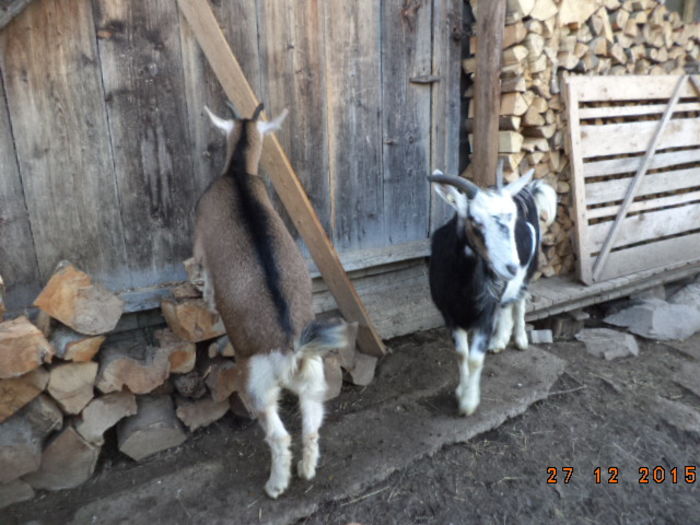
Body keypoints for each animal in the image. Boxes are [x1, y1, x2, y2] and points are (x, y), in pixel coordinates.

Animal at [193, 103, 352, 500]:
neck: (237, 173)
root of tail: (291, 347)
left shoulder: (199, 241)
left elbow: (206, 274)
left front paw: (208, 300)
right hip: (314, 378)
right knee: (311, 425)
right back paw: (307, 470)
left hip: (256, 385)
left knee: (278, 435)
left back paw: (276, 484)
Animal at [426, 166, 556, 416]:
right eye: (474, 221)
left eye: (513, 219)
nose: (511, 267)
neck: (463, 287)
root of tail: (526, 190)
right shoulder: (450, 314)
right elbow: (462, 354)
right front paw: (461, 391)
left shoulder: (484, 315)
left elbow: (475, 359)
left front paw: (468, 403)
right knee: (505, 305)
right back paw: (499, 341)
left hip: (529, 271)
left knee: (519, 301)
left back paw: (520, 339)